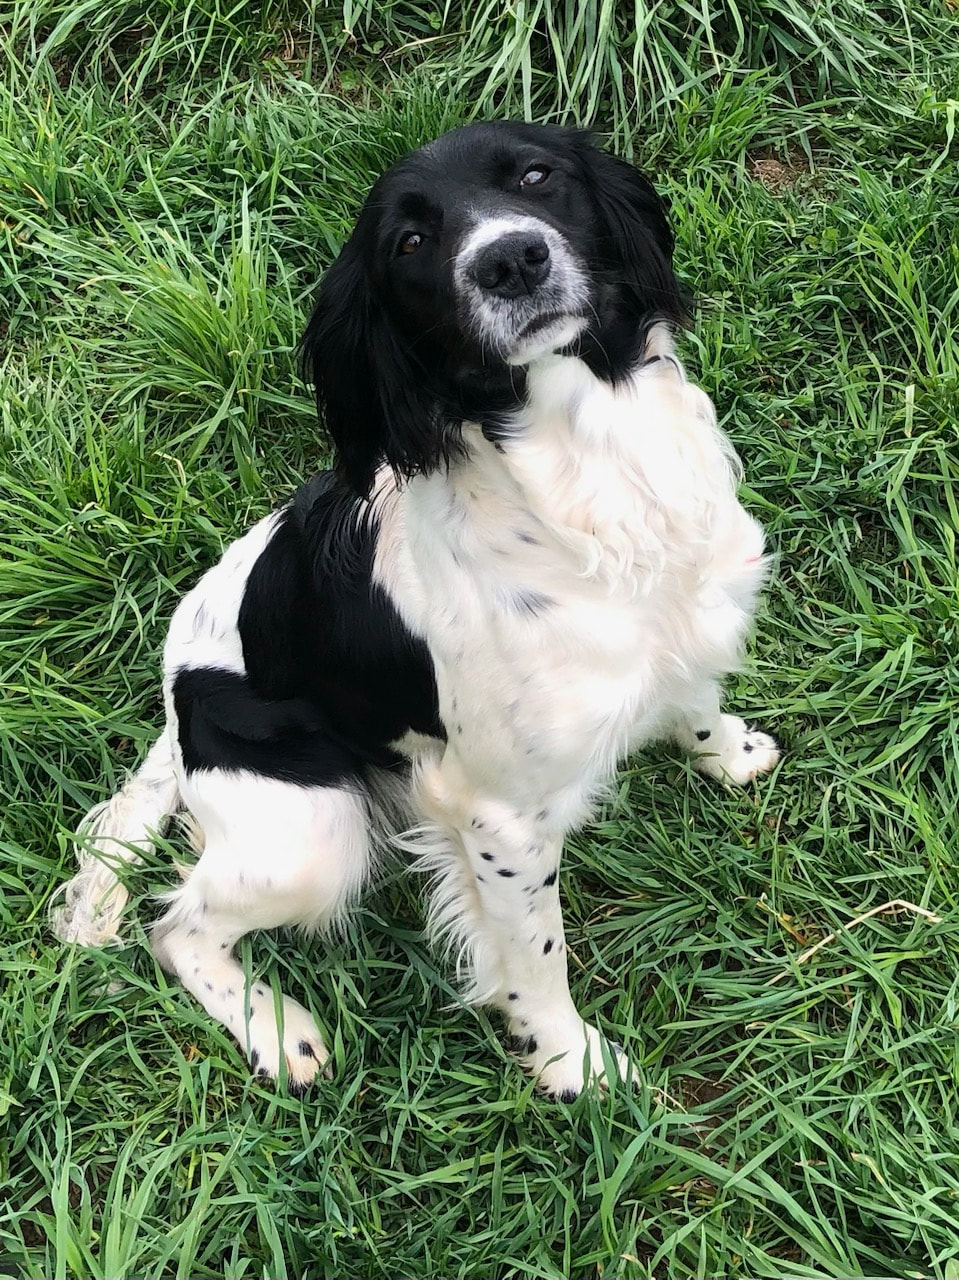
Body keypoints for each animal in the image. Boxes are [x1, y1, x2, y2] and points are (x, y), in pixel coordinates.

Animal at [52, 122, 778, 1100]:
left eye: (536, 175)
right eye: (409, 242)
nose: (510, 259)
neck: (592, 468)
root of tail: (177, 697)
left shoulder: (690, 626)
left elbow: (696, 704)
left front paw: (729, 756)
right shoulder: (499, 818)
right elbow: (536, 959)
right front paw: (571, 1063)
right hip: (312, 838)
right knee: (178, 929)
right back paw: (278, 1031)